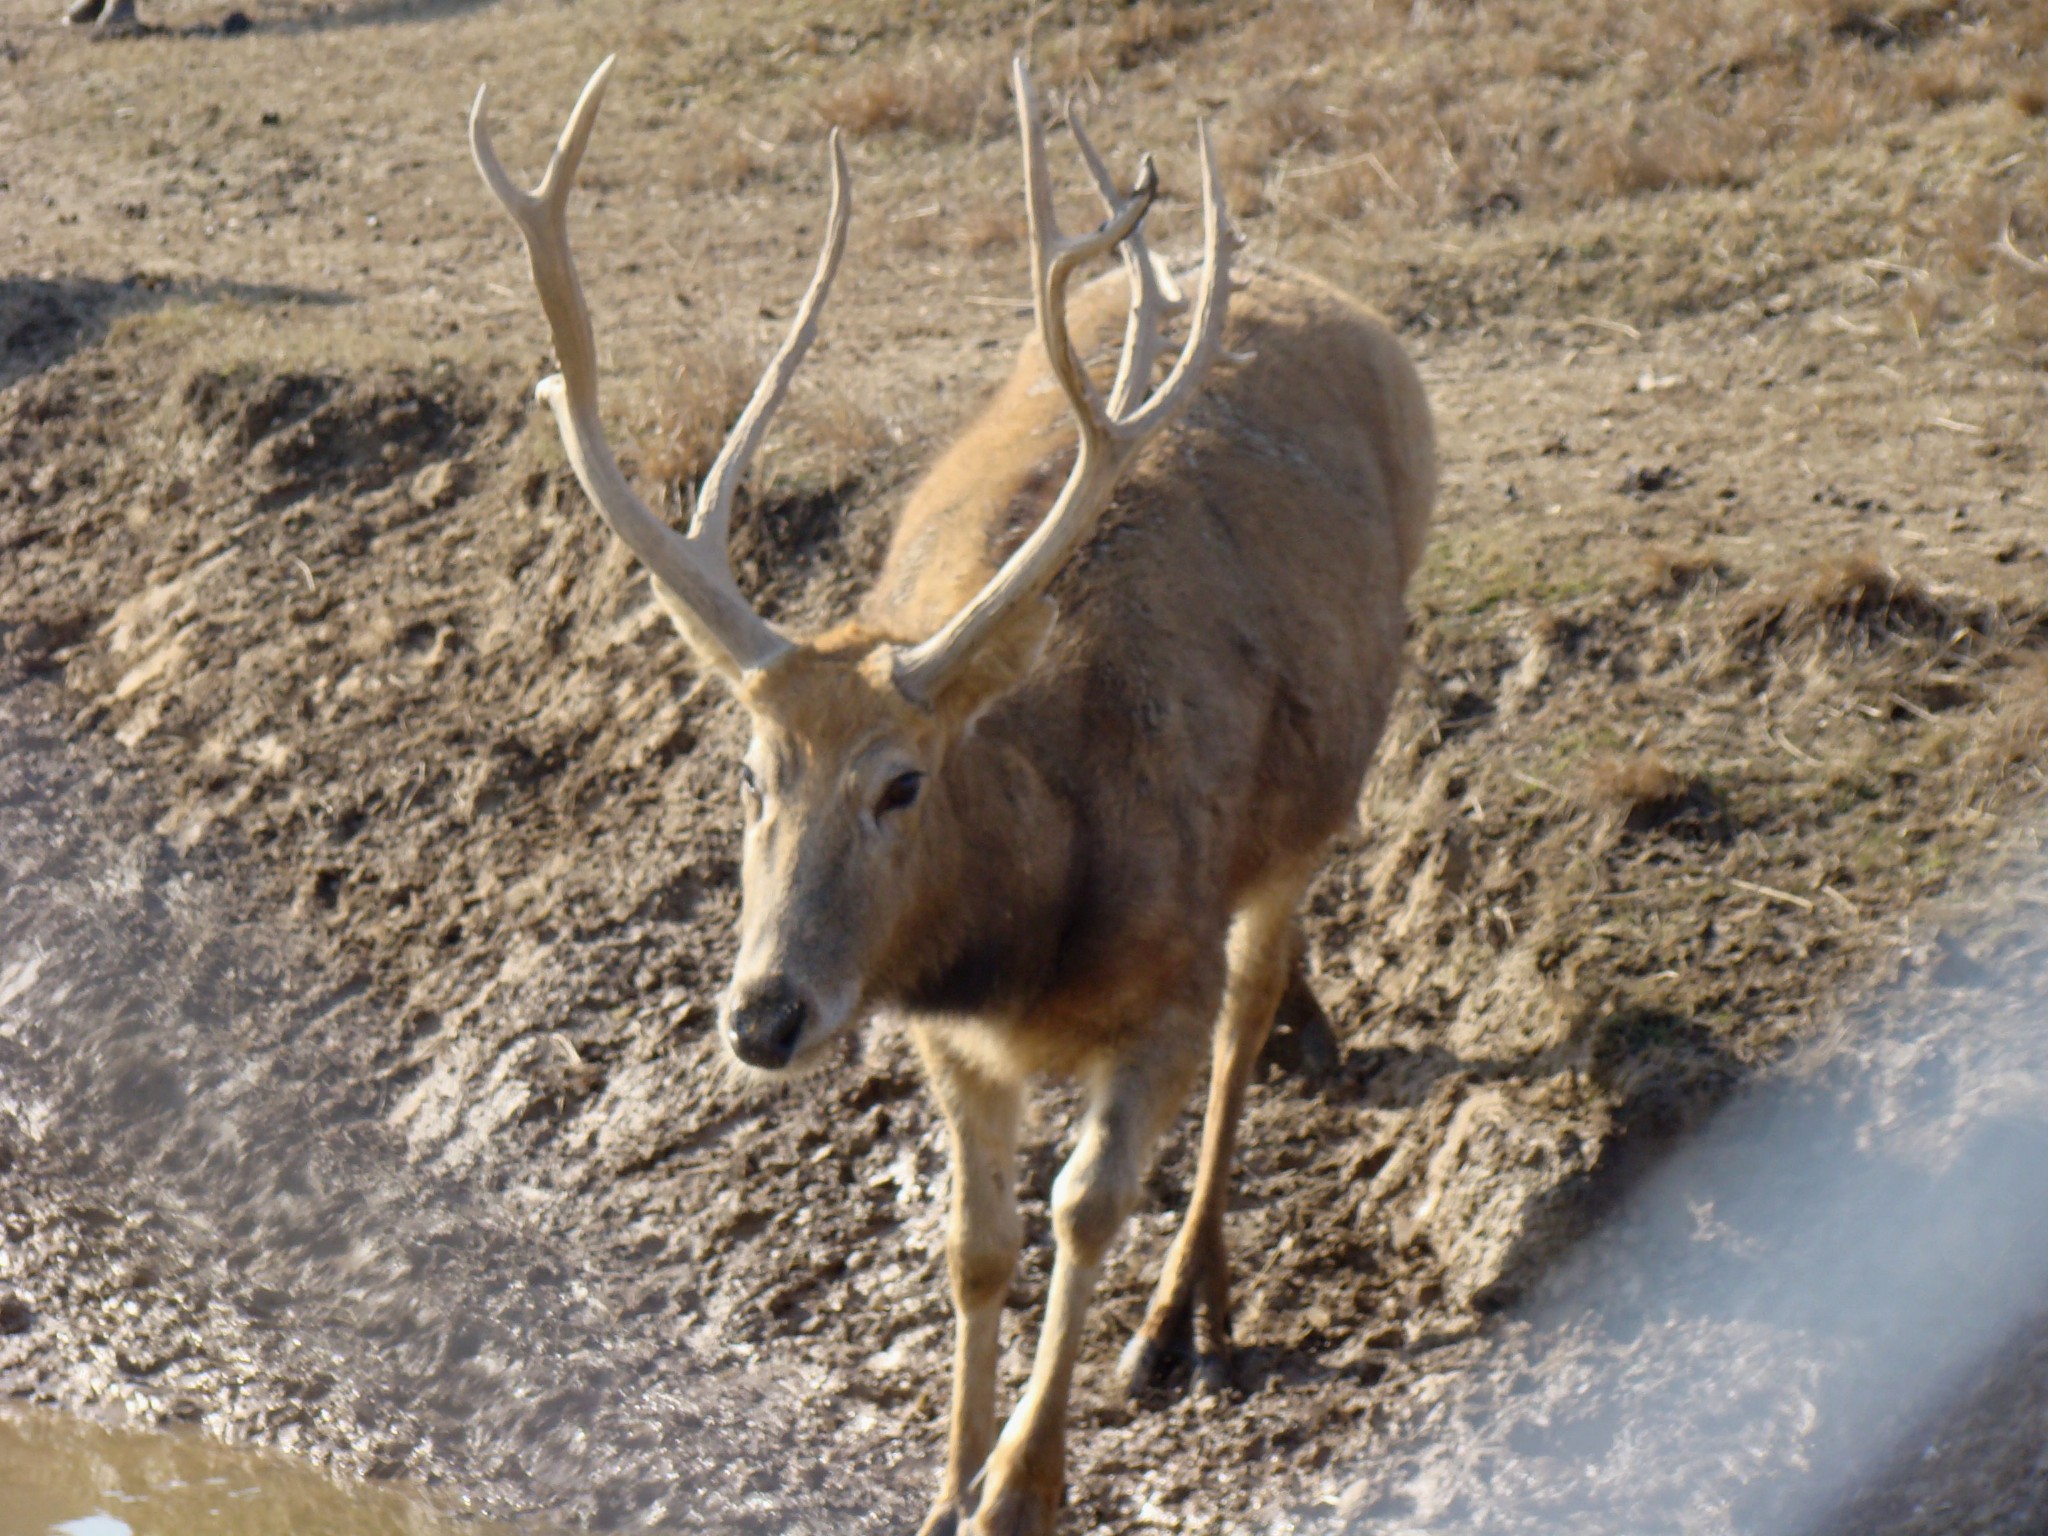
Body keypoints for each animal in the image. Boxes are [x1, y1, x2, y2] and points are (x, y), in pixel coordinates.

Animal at [468, 51, 1433, 1536]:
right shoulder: (946, 1044)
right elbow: (975, 1247)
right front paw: (946, 1486)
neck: (1026, 946)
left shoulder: (1163, 982)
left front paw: (1022, 1487)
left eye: (904, 784)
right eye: (746, 770)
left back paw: (1181, 1319)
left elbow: (1087, 1206)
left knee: (1249, 1010)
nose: (762, 1015)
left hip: (1316, 807)